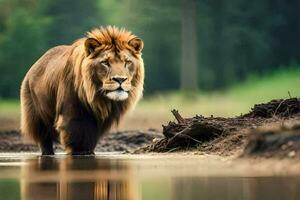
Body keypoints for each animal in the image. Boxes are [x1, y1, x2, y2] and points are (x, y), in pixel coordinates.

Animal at [19, 25, 144, 155]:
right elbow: (78, 138)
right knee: (44, 140)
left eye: (127, 62)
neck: (97, 98)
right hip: (37, 118)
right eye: (105, 63)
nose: (120, 79)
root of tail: (35, 64)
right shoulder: (74, 116)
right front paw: (81, 152)